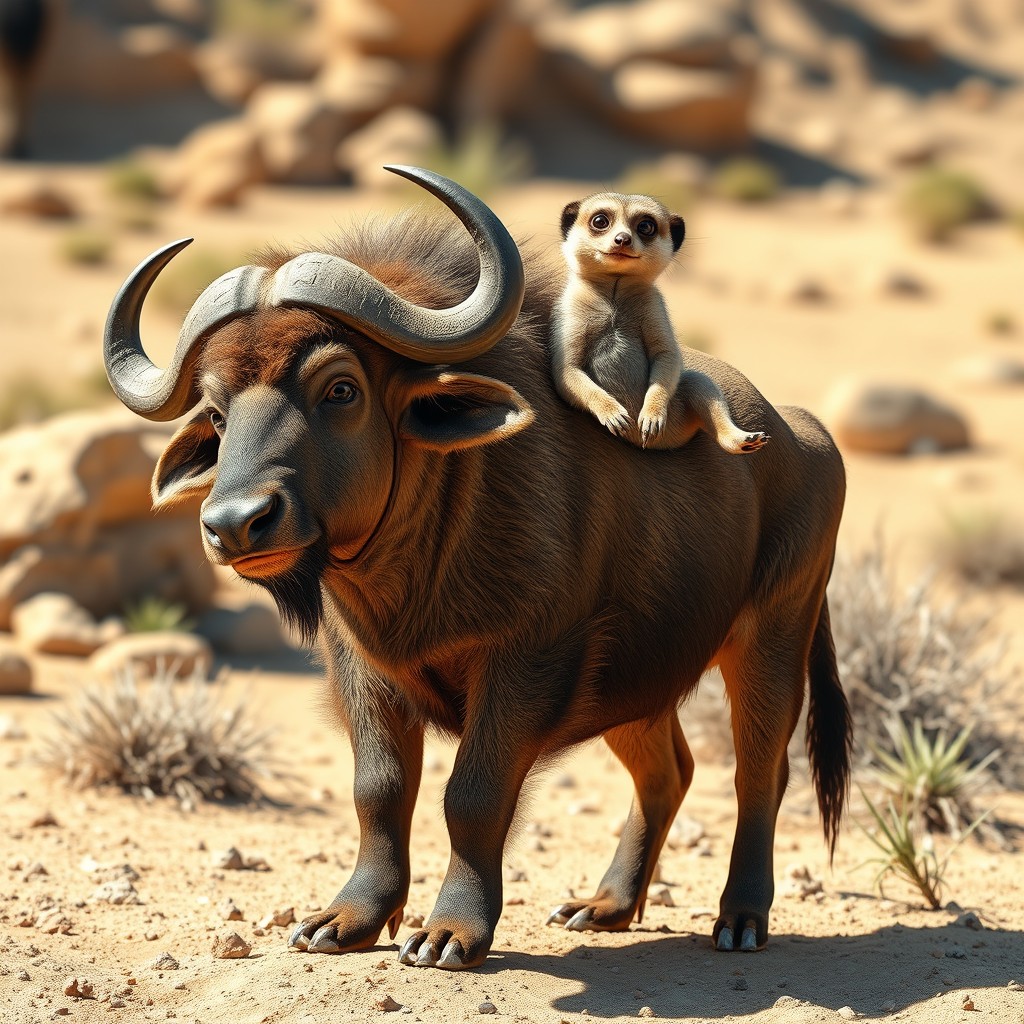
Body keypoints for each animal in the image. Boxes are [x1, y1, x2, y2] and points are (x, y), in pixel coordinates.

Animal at [103, 166, 850, 969]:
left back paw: (740, 918)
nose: (235, 523)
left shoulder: (526, 663)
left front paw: (450, 931)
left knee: (759, 771)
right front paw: (347, 918)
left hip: (773, 638)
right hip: (641, 682)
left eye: (340, 388)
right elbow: (378, 789)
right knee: (668, 771)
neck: (416, 570)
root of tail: (799, 430)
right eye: (216, 411)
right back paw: (606, 906)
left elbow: (474, 794)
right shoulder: (361, 671)